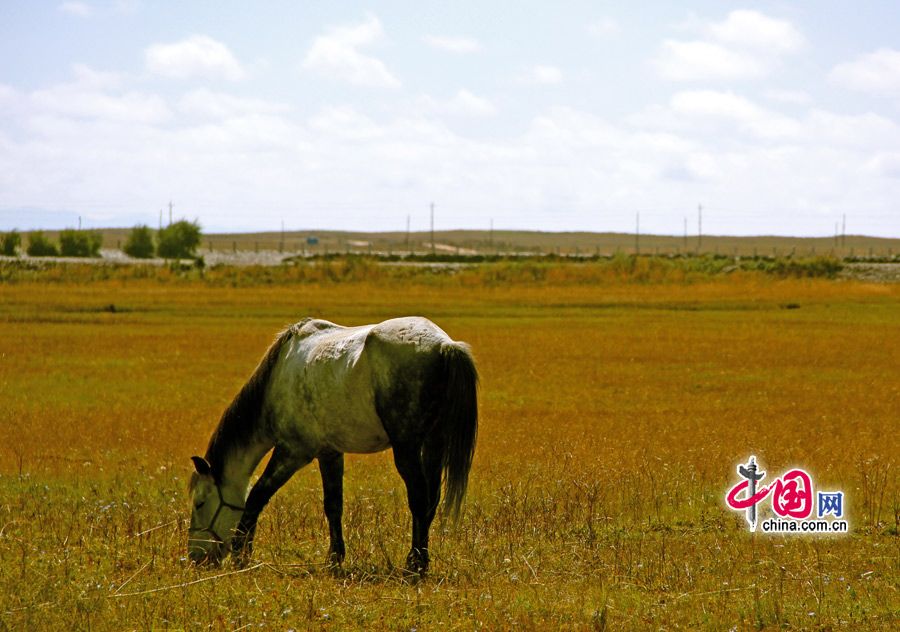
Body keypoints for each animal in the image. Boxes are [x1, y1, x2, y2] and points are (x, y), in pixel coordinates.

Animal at [185, 314, 474, 576]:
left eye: (200, 503)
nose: (194, 557)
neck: (275, 382)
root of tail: (443, 345)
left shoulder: (292, 453)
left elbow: (257, 496)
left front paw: (240, 554)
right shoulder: (329, 453)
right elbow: (333, 505)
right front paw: (334, 558)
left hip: (407, 449)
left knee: (419, 499)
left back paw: (415, 563)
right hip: (433, 445)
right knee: (431, 501)